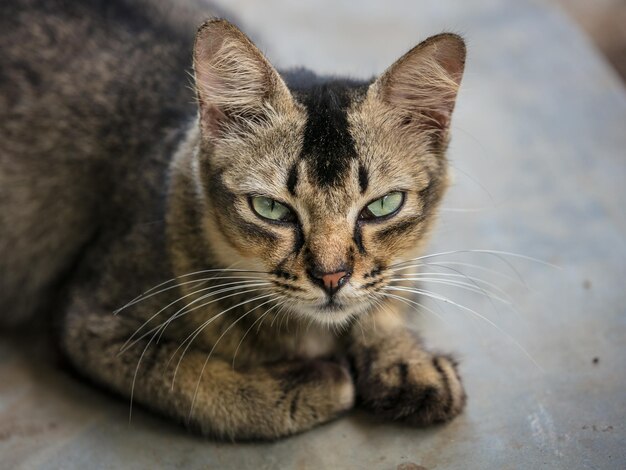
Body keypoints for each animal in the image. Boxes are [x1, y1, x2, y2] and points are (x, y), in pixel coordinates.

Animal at [0, 0, 466, 440]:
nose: (332, 278)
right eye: (271, 209)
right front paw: (315, 383)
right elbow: (193, 382)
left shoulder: (407, 265)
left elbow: (388, 297)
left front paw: (409, 364)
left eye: (384, 206)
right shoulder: (89, 323)